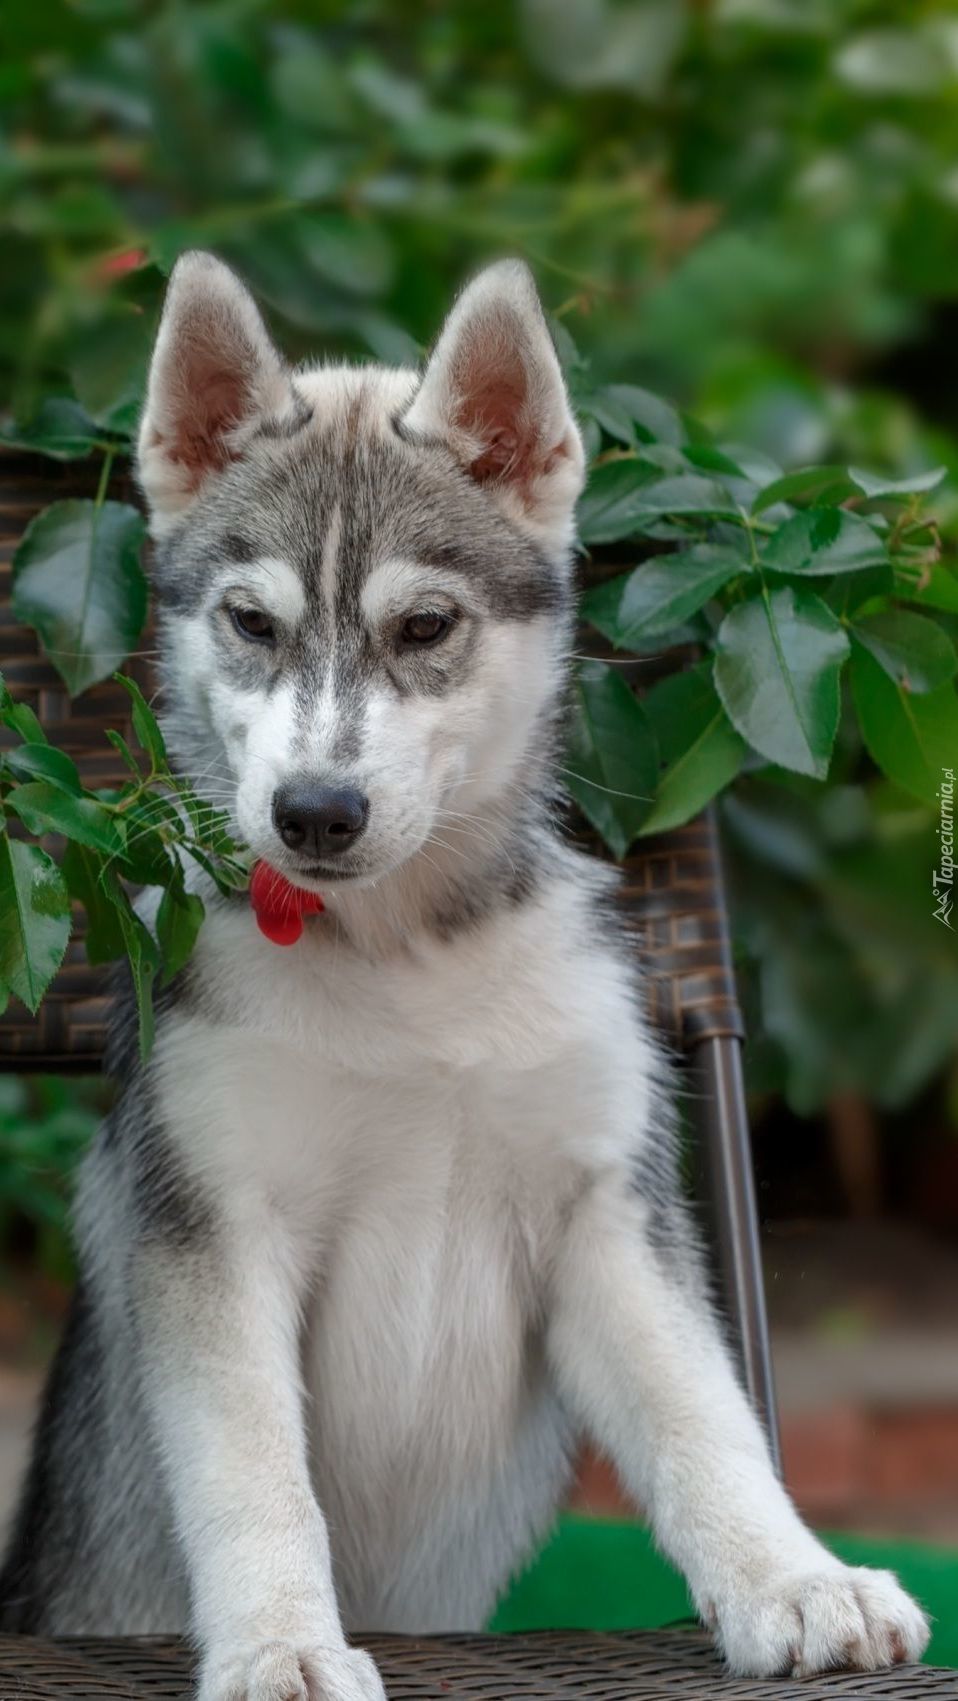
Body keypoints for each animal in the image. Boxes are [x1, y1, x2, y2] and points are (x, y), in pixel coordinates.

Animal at [0, 246, 932, 1694]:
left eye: (426, 624)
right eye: (251, 621)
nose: (314, 813)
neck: (406, 965)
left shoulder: (603, 1203)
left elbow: (701, 1410)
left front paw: (794, 1578)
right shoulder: (213, 1217)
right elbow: (252, 1466)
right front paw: (281, 1640)